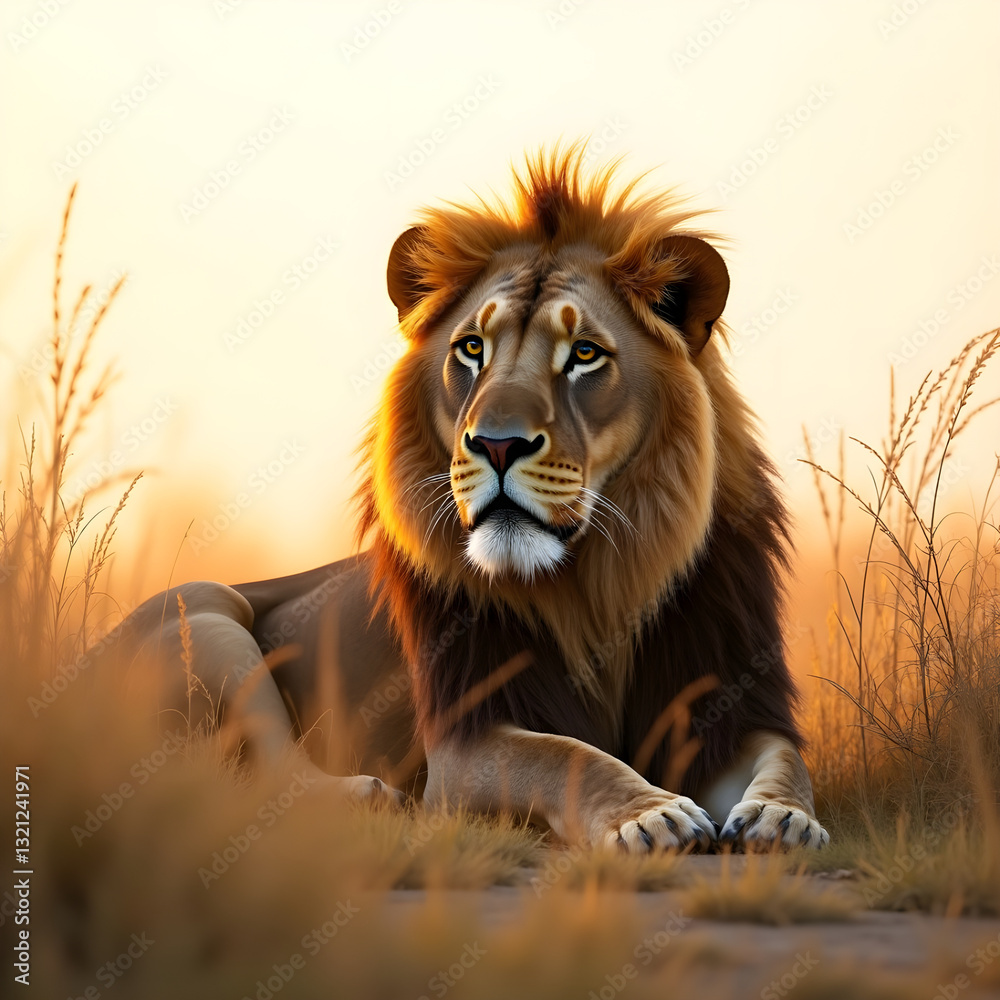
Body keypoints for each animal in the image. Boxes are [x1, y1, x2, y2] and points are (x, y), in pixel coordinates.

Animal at [111, 148, 828, 852]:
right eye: (472, 348)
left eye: (585, 354)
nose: (497, 444)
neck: (600, 589)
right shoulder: (463, 740)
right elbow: (568, 756)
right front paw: (651, 815)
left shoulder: (725, 702)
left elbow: (786, 759)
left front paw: (783, 818)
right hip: (206, 613)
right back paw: (366, 796)